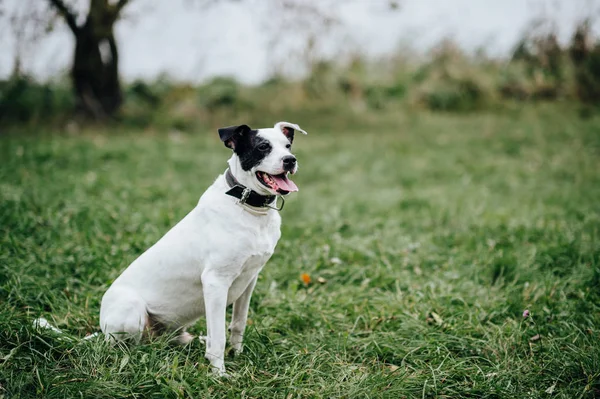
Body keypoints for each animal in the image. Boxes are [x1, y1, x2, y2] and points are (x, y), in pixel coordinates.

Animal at [99, 121, 308, 376]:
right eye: (262, 147)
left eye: (288, 146)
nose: (290, 160)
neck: (247, 207)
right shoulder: (215, 283)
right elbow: (218, 337)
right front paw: (220, 374)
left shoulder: (250, 280)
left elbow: (238, 324)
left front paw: (237, 354)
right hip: (130, 310)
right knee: (130, 345)